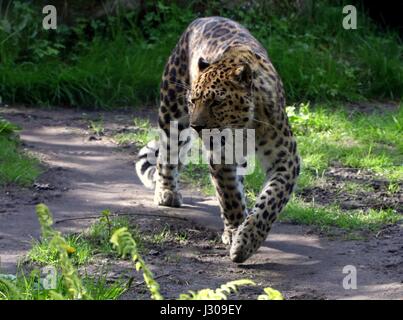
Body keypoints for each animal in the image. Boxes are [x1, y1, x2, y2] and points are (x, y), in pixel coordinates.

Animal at [136, 16, 300, 262]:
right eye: (193, 100)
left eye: (217, 102)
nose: (197, 126)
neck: (244, 127)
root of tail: (204, 18)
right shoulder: (220, 155)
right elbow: (229, 195)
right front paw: (235, 233)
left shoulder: (286, 159)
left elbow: (270, 201)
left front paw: (247, 239)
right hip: (172, 115)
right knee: (167, 154)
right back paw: (167, 192)